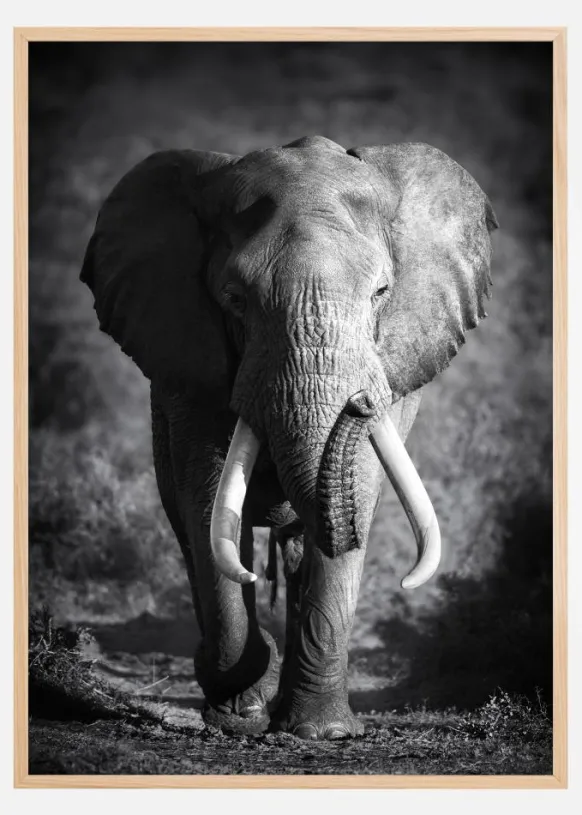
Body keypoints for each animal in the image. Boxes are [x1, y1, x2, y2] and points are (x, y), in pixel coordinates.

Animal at [81, 135, 497, 740]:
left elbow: (358, 492)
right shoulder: (190, 363)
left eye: (382, 292)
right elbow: (206, 500)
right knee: (190, 528)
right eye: (234, 298)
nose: (360, 402)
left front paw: (322, 733)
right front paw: (239, 713)